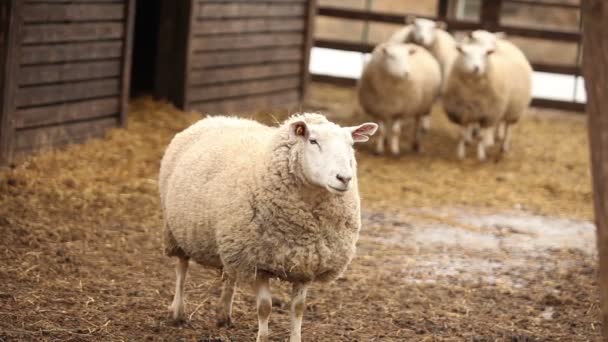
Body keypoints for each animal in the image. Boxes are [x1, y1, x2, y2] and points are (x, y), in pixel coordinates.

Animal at [158, 113, 376, 342]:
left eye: (351, 144)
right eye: (313, 141)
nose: (344, 178)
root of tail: (216, 117)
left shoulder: (305, 263)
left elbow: (298, 308)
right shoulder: (258, 263)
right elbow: (265, 308)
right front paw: (262, 336)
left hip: (232, 243)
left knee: (230, 276)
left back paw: (223, 315)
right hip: (175, 230)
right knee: (181, 269)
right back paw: (177, 312)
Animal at [442, 31, 532, 160]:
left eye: (487, 53)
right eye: (465, 53)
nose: (476, 68)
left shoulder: (489, 112)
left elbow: (483, 134)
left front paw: (482, 152)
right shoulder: (463, 111)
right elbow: (463, 134)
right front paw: (462, 151)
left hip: (513, 108)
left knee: (507, 127)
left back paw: (502, 145)